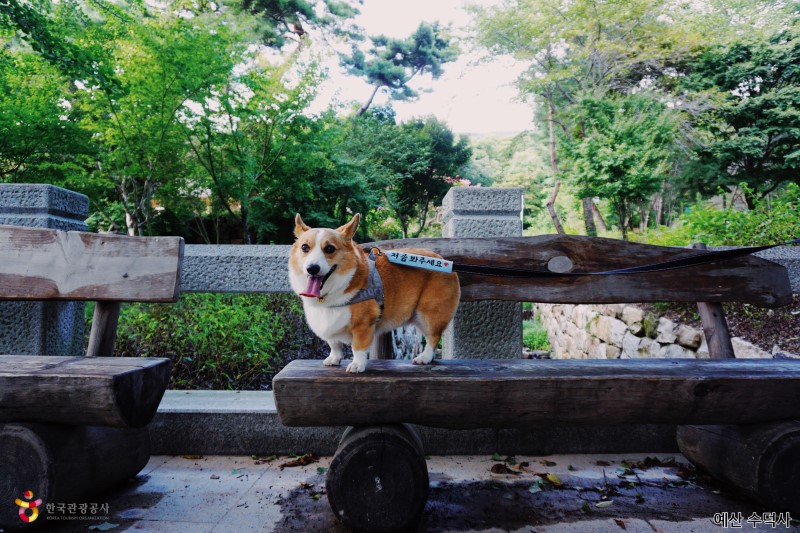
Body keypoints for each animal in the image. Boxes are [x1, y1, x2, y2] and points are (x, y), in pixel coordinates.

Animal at [290, 214, 460, 372]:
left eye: (330, 249)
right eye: (305, 247)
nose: (312, 268)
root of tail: (447, 263)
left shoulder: (363, 326)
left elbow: (357, 348)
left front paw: (357, 365)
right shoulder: (330, 327)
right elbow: (334, 344)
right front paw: (334, 358)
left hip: (429, 314)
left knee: (433, 337)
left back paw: (424, 357)